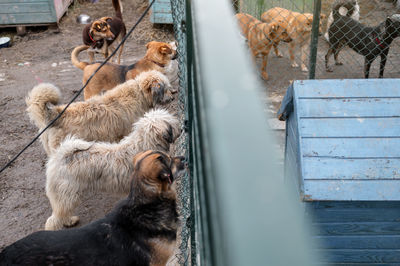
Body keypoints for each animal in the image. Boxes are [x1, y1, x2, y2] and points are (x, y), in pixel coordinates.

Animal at [44, 108, 180, 231]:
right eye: (172, 123)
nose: (182, 128)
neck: (144, 146)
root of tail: (61, 155)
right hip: (67, 196)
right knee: (53, 220)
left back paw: (69, 221)